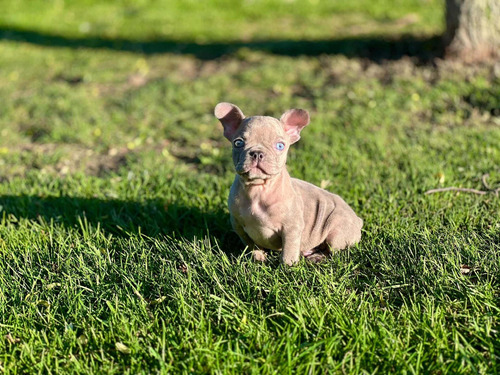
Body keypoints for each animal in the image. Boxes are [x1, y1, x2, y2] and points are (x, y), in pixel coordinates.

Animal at [215, 102, 364, 268]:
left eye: (280, 146)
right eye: (238, 143)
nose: (257, 153)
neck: (258, 189)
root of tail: (358, 220)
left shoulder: (291, 228)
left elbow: (289, 249)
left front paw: (288, 267)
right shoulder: (238, 225)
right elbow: (251, 244)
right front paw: (257, 257)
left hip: (337, 232)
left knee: (332, 251)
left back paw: (317, 257)